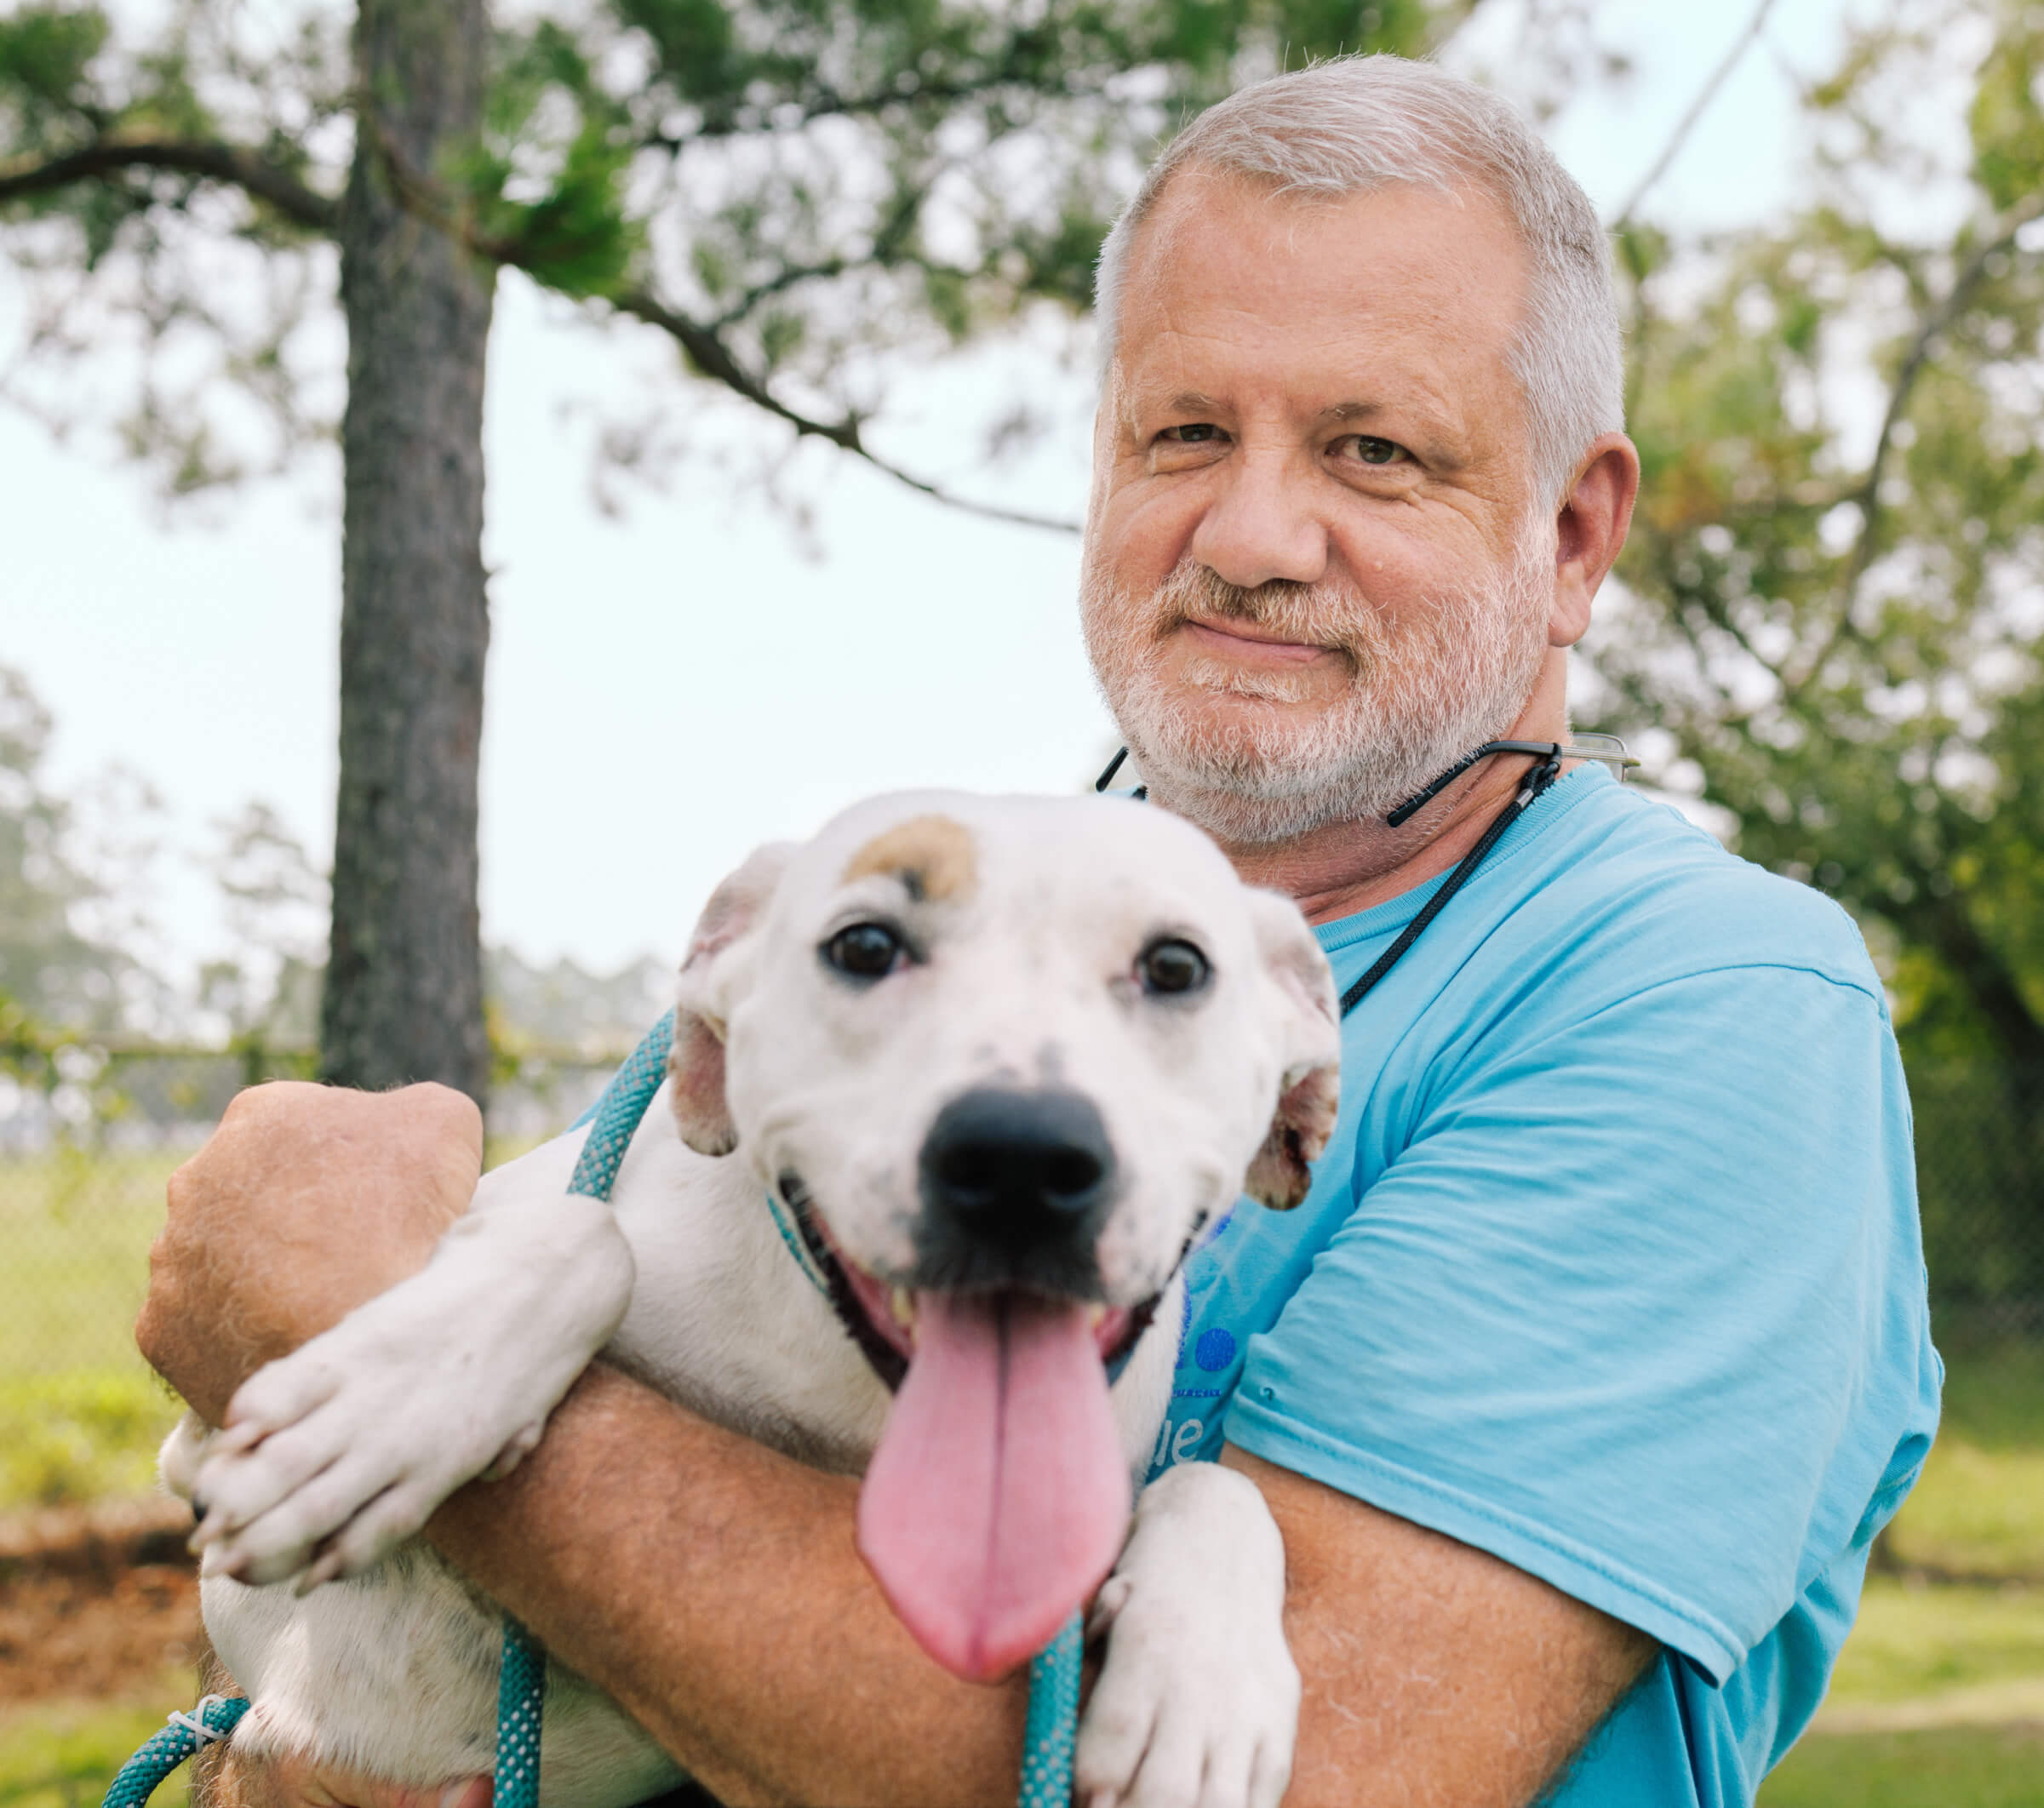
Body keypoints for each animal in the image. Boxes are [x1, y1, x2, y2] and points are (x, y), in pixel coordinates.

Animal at [159, 788, 1341, 1805]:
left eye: (1177, 964)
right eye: (863, 946)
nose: (1018, 1159)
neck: (847, 1395)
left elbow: (1214, 1486)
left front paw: (1200, 1691)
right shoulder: (199, 1441)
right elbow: (588, 1237)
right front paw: (383, 1409)